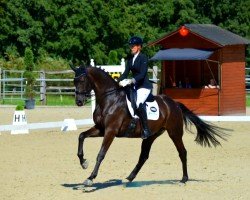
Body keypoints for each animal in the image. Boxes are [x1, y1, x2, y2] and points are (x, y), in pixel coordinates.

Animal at [70, 65, 227, 187]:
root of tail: (174, 104)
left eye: (82, 80)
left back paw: (184, 179)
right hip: (152, 135)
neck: (109, 99)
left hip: (174, 133)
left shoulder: (110, 131)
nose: (79, 102)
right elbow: (81, 136)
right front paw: (83, 162)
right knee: (144, 156)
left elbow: (101, 154)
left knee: (182, 152)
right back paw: (130, 177)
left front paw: (90, 178)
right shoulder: (101, 129)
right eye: (74, 81)